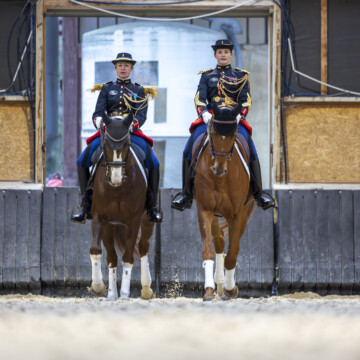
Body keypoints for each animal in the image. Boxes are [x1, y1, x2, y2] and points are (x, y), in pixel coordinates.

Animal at [88, 110, 155, 300]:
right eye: (106, 144)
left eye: (127, 144)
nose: (116, 178)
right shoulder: (100, 218)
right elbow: (96, 250)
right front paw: (99, 287)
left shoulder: (134, 220)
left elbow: (128, 257)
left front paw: (124, 293)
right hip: (111, 226)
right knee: (112, 257)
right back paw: (112, 293)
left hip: (146, 220)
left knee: (143, 247)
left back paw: (146, 288)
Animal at [194, 103, 256, 300]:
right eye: (212, 133)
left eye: (233, 135)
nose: (218, 168)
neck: (221, 179)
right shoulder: (205, 210)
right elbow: (208, 250)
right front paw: (208, 290)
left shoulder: (237, 215)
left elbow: (232, 255)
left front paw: (231, 289)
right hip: (215, 214)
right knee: (220, 240)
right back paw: (218, 283)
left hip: (244, 213)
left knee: (231, 247)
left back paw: (225, 286)